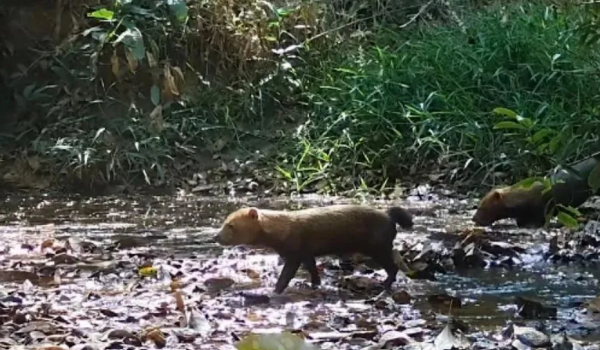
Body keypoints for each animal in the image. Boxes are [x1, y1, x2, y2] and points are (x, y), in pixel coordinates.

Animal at [213, 204, 414, 294]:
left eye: (230, 225)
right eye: (225, 222)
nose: (215, 237)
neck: (282, 230)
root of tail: (389, 216)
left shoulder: (295, 251)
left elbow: (287, 274)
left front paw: (275, 290)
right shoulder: (306, 252)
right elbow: (312, 269)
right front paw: (315, 284)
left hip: (378, 247)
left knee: (393, 267)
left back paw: (385, 284)